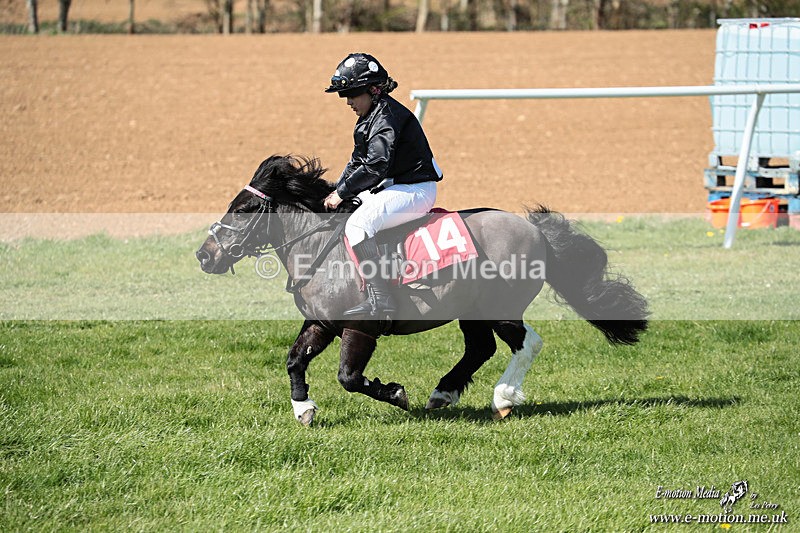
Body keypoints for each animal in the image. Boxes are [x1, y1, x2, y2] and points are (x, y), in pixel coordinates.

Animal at [196, 155, 649, 426]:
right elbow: (294, 360)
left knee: (527, 342)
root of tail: (533, 228)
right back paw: (443, 393)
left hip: (501, 307)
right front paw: (304, 409)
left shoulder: (360, 328)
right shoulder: (321, 323)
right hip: (472, 310)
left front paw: (395, 393)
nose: (204, 255)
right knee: (480, 348)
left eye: (244, 208)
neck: (320, 248)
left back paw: (503, 398)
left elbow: (349, 377)